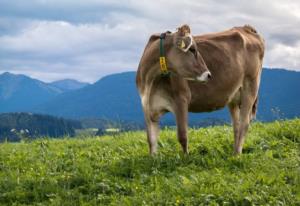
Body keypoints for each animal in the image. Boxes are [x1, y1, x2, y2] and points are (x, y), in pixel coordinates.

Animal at [136, 25, 264, 154]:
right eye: (192, 49)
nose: (208, 74)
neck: (150, 82)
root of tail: (245, 28)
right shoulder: (147, 106)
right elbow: (151, 140)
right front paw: (153, 157)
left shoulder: (181, 98)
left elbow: (182, 136)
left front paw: (186, 157)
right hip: (234, 96)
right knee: (236, 126)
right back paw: (234, 152)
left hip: (251, 86)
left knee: (244, 124)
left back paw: (237, 154)